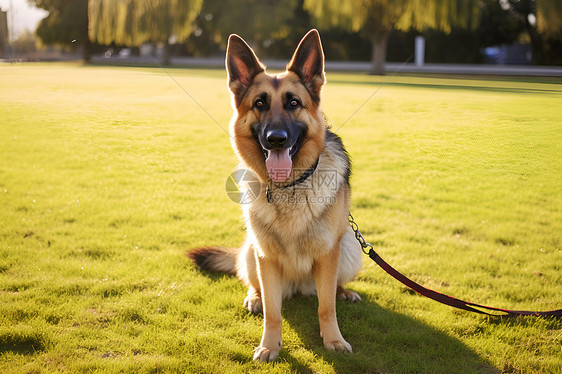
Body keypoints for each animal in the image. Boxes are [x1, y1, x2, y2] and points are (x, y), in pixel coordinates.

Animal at [188, 29, 360, 362]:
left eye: (293, 103)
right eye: (259, 104)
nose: (276, 139)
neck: (288, 188)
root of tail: (298, 288)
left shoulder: (328, 253)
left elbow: (326, 307)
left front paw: (334, 340)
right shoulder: (265, 256)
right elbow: (273, 312)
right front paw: (269, 345)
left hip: (349, 247)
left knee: (331, 290)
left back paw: (344, 292)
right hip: (251, 249)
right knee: (255, 285)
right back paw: (254, 298)